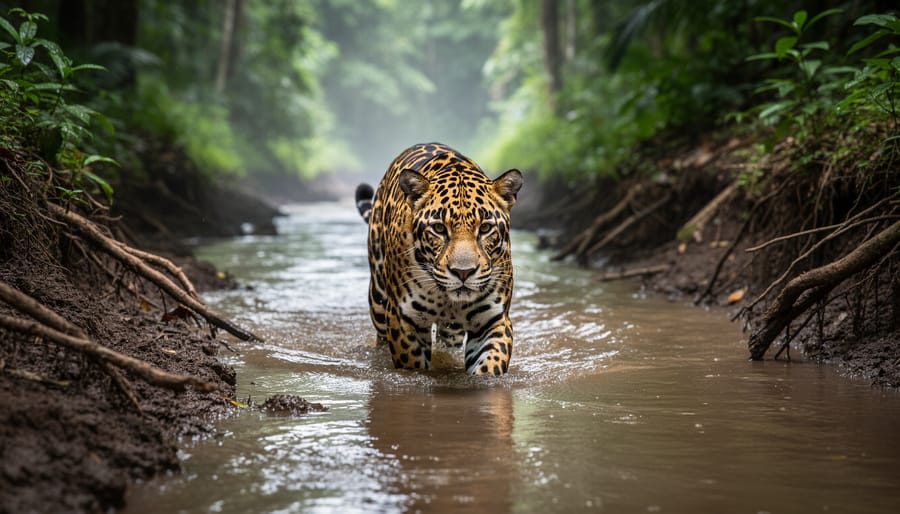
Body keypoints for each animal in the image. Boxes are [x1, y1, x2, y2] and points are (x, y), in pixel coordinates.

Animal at [355, 143, 523, 376]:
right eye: (439, 228)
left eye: (485, 228)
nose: (463, 272)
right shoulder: (403, 319)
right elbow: (415, 366)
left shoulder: (493, 320)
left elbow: (489, 365)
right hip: (379, 300)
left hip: (453, 331)